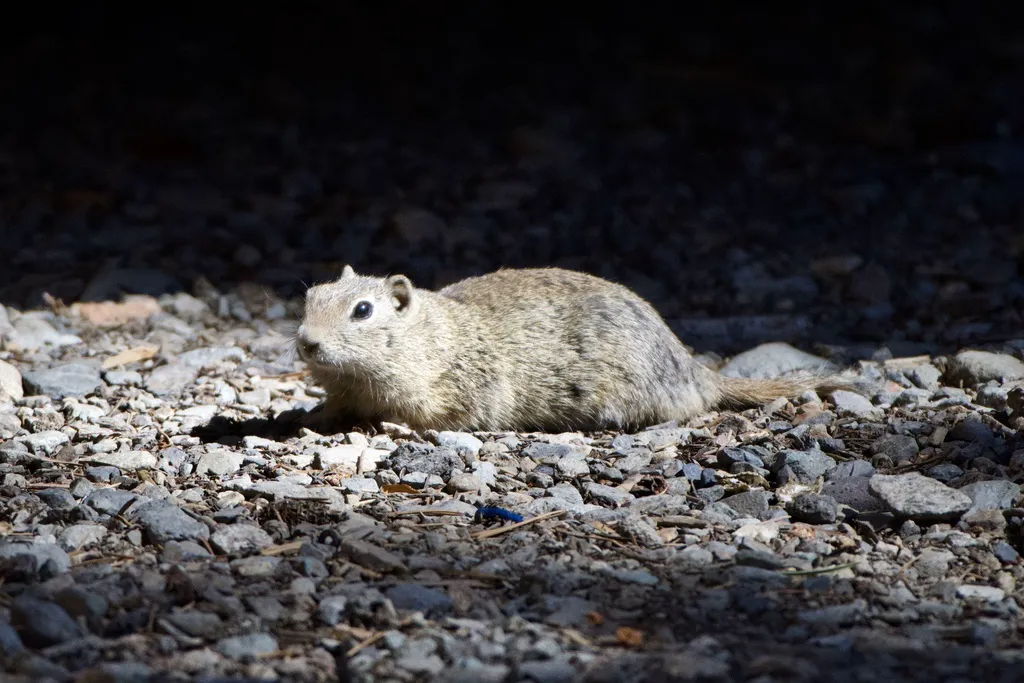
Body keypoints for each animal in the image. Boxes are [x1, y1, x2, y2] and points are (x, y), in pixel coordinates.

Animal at [296, 265, 865, 433]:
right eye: (310, 295)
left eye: (362, 310)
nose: (306, 342)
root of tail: (697, 370)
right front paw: (305, 418)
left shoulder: (459, 386)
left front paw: (392, 427)